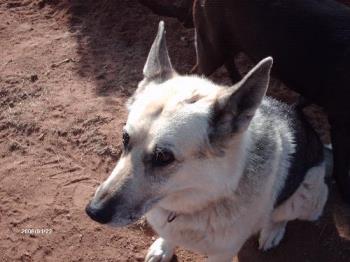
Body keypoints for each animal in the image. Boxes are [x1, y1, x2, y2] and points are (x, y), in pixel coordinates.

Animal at [85, 22, 328, 262]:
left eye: (163, 157)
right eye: (125, 138)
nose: (93, 212)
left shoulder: (223, 253)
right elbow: (169, 235)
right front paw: (164, 246)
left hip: (308, 198)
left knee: (285, 212)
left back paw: (273, 231)